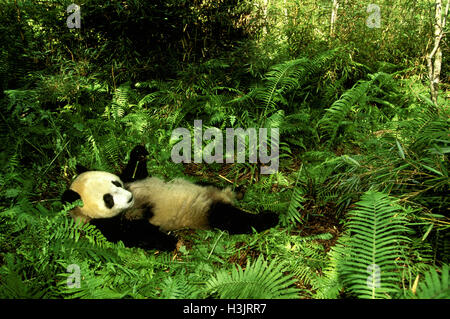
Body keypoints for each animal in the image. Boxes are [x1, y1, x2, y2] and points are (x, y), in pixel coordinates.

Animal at [59, 146, 278, 251]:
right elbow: (136, 234)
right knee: (232, 219)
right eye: (108, 199)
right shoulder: (103, 226)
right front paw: (171, 242)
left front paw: (139, 152)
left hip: (202, 185)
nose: (130, 198)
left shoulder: (132, 180)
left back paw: (236, 189)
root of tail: (223, 197)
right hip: (207, 211)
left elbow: (135, 172)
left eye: (116, 184)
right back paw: (268, 217)